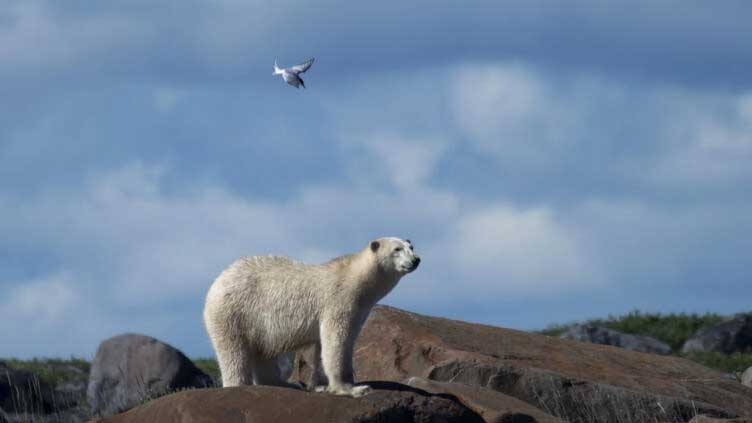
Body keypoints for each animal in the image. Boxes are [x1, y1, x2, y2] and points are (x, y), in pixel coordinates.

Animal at [203, 238, 420, 398]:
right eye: (397, 249)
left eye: (411, 247)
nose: (416, 260)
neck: (353, 277)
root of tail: (216, 282)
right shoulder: (338, 302)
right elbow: (336, 342)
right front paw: (352, 388)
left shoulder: (358, 310)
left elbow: (329, 346)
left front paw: (322, 385)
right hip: (233, 313)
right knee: (233, 352)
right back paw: (239, 384)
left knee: (263, 352)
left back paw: (284, 384)